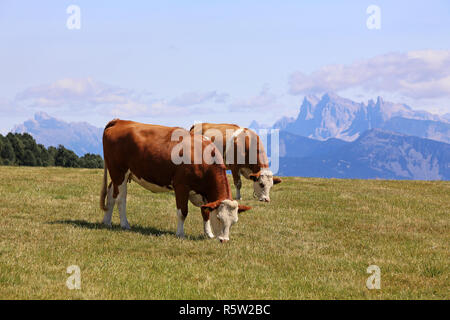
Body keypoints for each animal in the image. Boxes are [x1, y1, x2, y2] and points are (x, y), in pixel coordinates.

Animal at [100, 120, 251, 242]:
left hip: (119, 175)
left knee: (111, 195)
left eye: (234, 222)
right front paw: (180, 234)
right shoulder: (181, 186)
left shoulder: (204, 194)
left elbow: (206, 212)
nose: (224, 240)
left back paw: (107, 222)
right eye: (219, 218)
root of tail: (120, 121)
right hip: (119, 173)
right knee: (120, 199)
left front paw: (208, 234)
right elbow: (182, 212)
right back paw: (125, 224)